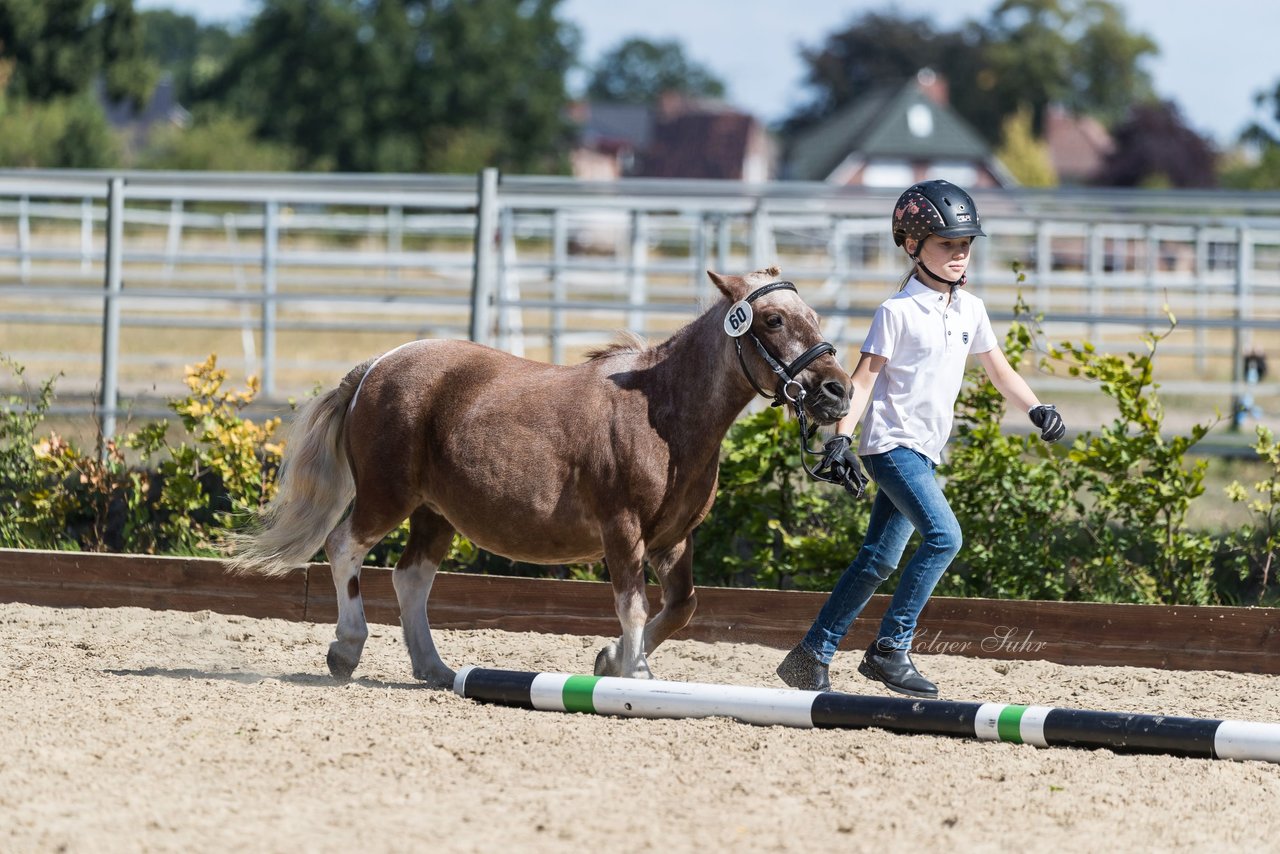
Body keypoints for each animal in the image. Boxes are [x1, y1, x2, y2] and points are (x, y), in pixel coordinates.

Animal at [230, 267, 849, 686]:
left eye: (815, 318)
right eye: (773, 319)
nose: (836, 391)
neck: (662, 414)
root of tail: (374, 367)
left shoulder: (674, 539)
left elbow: (682, 606)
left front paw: (613, 660)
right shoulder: (622, 530)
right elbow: (633, 605)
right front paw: (633, 673)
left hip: (434, 514)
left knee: (411, 579)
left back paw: (434, 668)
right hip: (388, 497)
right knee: (344, 548)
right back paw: (347, 648)